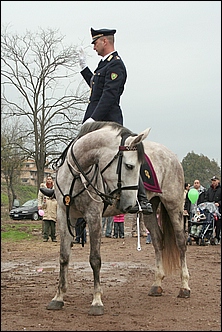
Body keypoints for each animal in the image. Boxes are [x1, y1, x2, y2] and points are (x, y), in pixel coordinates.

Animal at [46, 121, 190, 314]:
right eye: (129, 166)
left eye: (138, 167)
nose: (129, 204)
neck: (77, 175)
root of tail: (171, 155)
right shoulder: (64, 214)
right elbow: (64, 256)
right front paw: (58, 297)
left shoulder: (94, 216)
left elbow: (95, 259)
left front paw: (97, 301)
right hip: (151, 210)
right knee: (158, 240)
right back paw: (157, 284)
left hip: (173, 205)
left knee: (181, 242)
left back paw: (184, 287)